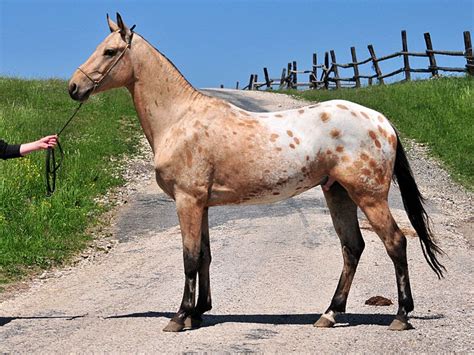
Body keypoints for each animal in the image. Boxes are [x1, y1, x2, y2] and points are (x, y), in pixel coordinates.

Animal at [66, 12, 444, 332]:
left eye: (109, 51)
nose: (73, 88)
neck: (180, 119)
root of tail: (383, 122)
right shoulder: (201, 204)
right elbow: (204, 256)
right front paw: (199, 312)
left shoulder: (187, 201)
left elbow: (189, 258)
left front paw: (180, 317)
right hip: (337, 193)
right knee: (352, 248)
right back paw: (329, 314)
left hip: (369, 196)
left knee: (395, 243)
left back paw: (400, 316)